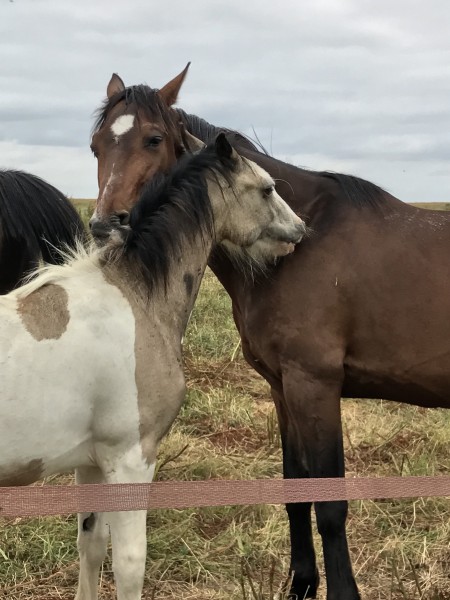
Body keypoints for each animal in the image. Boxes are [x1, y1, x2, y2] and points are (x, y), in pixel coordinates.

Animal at [0, 134, 306, 596]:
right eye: (267, 189)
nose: (301, 229)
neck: (133, 297)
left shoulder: (90, 463)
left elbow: (90, 545)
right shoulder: (132, 459)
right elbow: (129, 565)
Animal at [89, 65, 450, 600]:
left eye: (153, 139)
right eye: (96, 145)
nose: (103, 226)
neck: (299, 243)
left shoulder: (314, 385)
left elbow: (330, 504)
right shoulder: (283, 387)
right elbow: (295, 489)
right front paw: (301, 584)